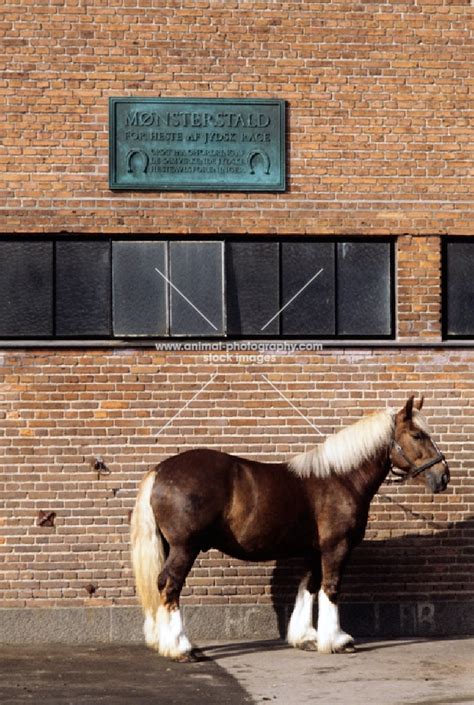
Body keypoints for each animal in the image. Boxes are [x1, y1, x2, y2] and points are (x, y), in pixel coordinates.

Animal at [130, 396, 448, 660]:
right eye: (418, 435)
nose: (443, 476)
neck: (341, 478)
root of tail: (159, 471)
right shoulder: (336, 548)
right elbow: (331, 588)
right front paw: (337, 640)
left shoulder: (315, 551)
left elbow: (309, 587)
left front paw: (307, 637)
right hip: (185, 548)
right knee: (170, 585)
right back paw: (181, 648)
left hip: (170, 546)